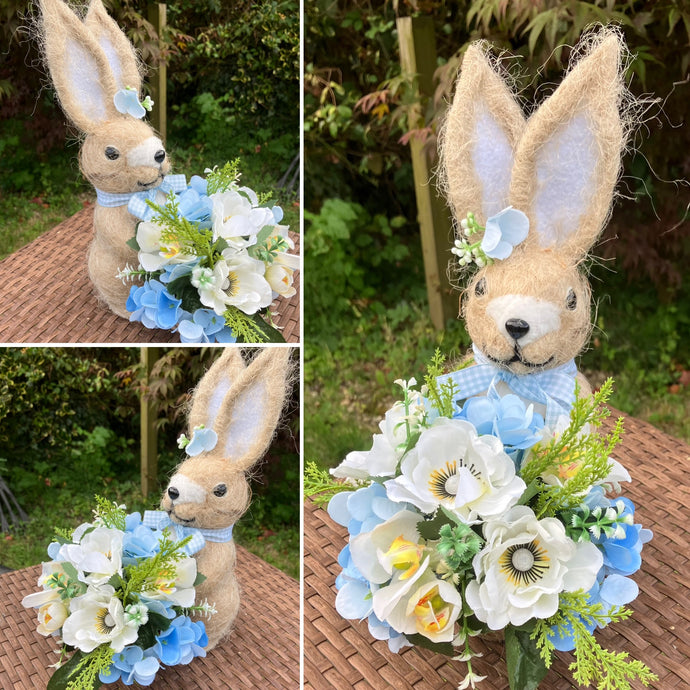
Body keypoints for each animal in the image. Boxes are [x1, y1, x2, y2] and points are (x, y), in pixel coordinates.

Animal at [39, 0, 177, 318]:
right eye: (111, 153)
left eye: (148, 132)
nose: (159, 154)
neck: (131, 196)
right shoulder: (108, 223)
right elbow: (125, 243)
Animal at [156, 346, 290, 648]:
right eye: (181, 470)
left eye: (220, 490)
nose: (174, 492)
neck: (199, 533)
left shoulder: (221, 559)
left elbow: (206, 578)